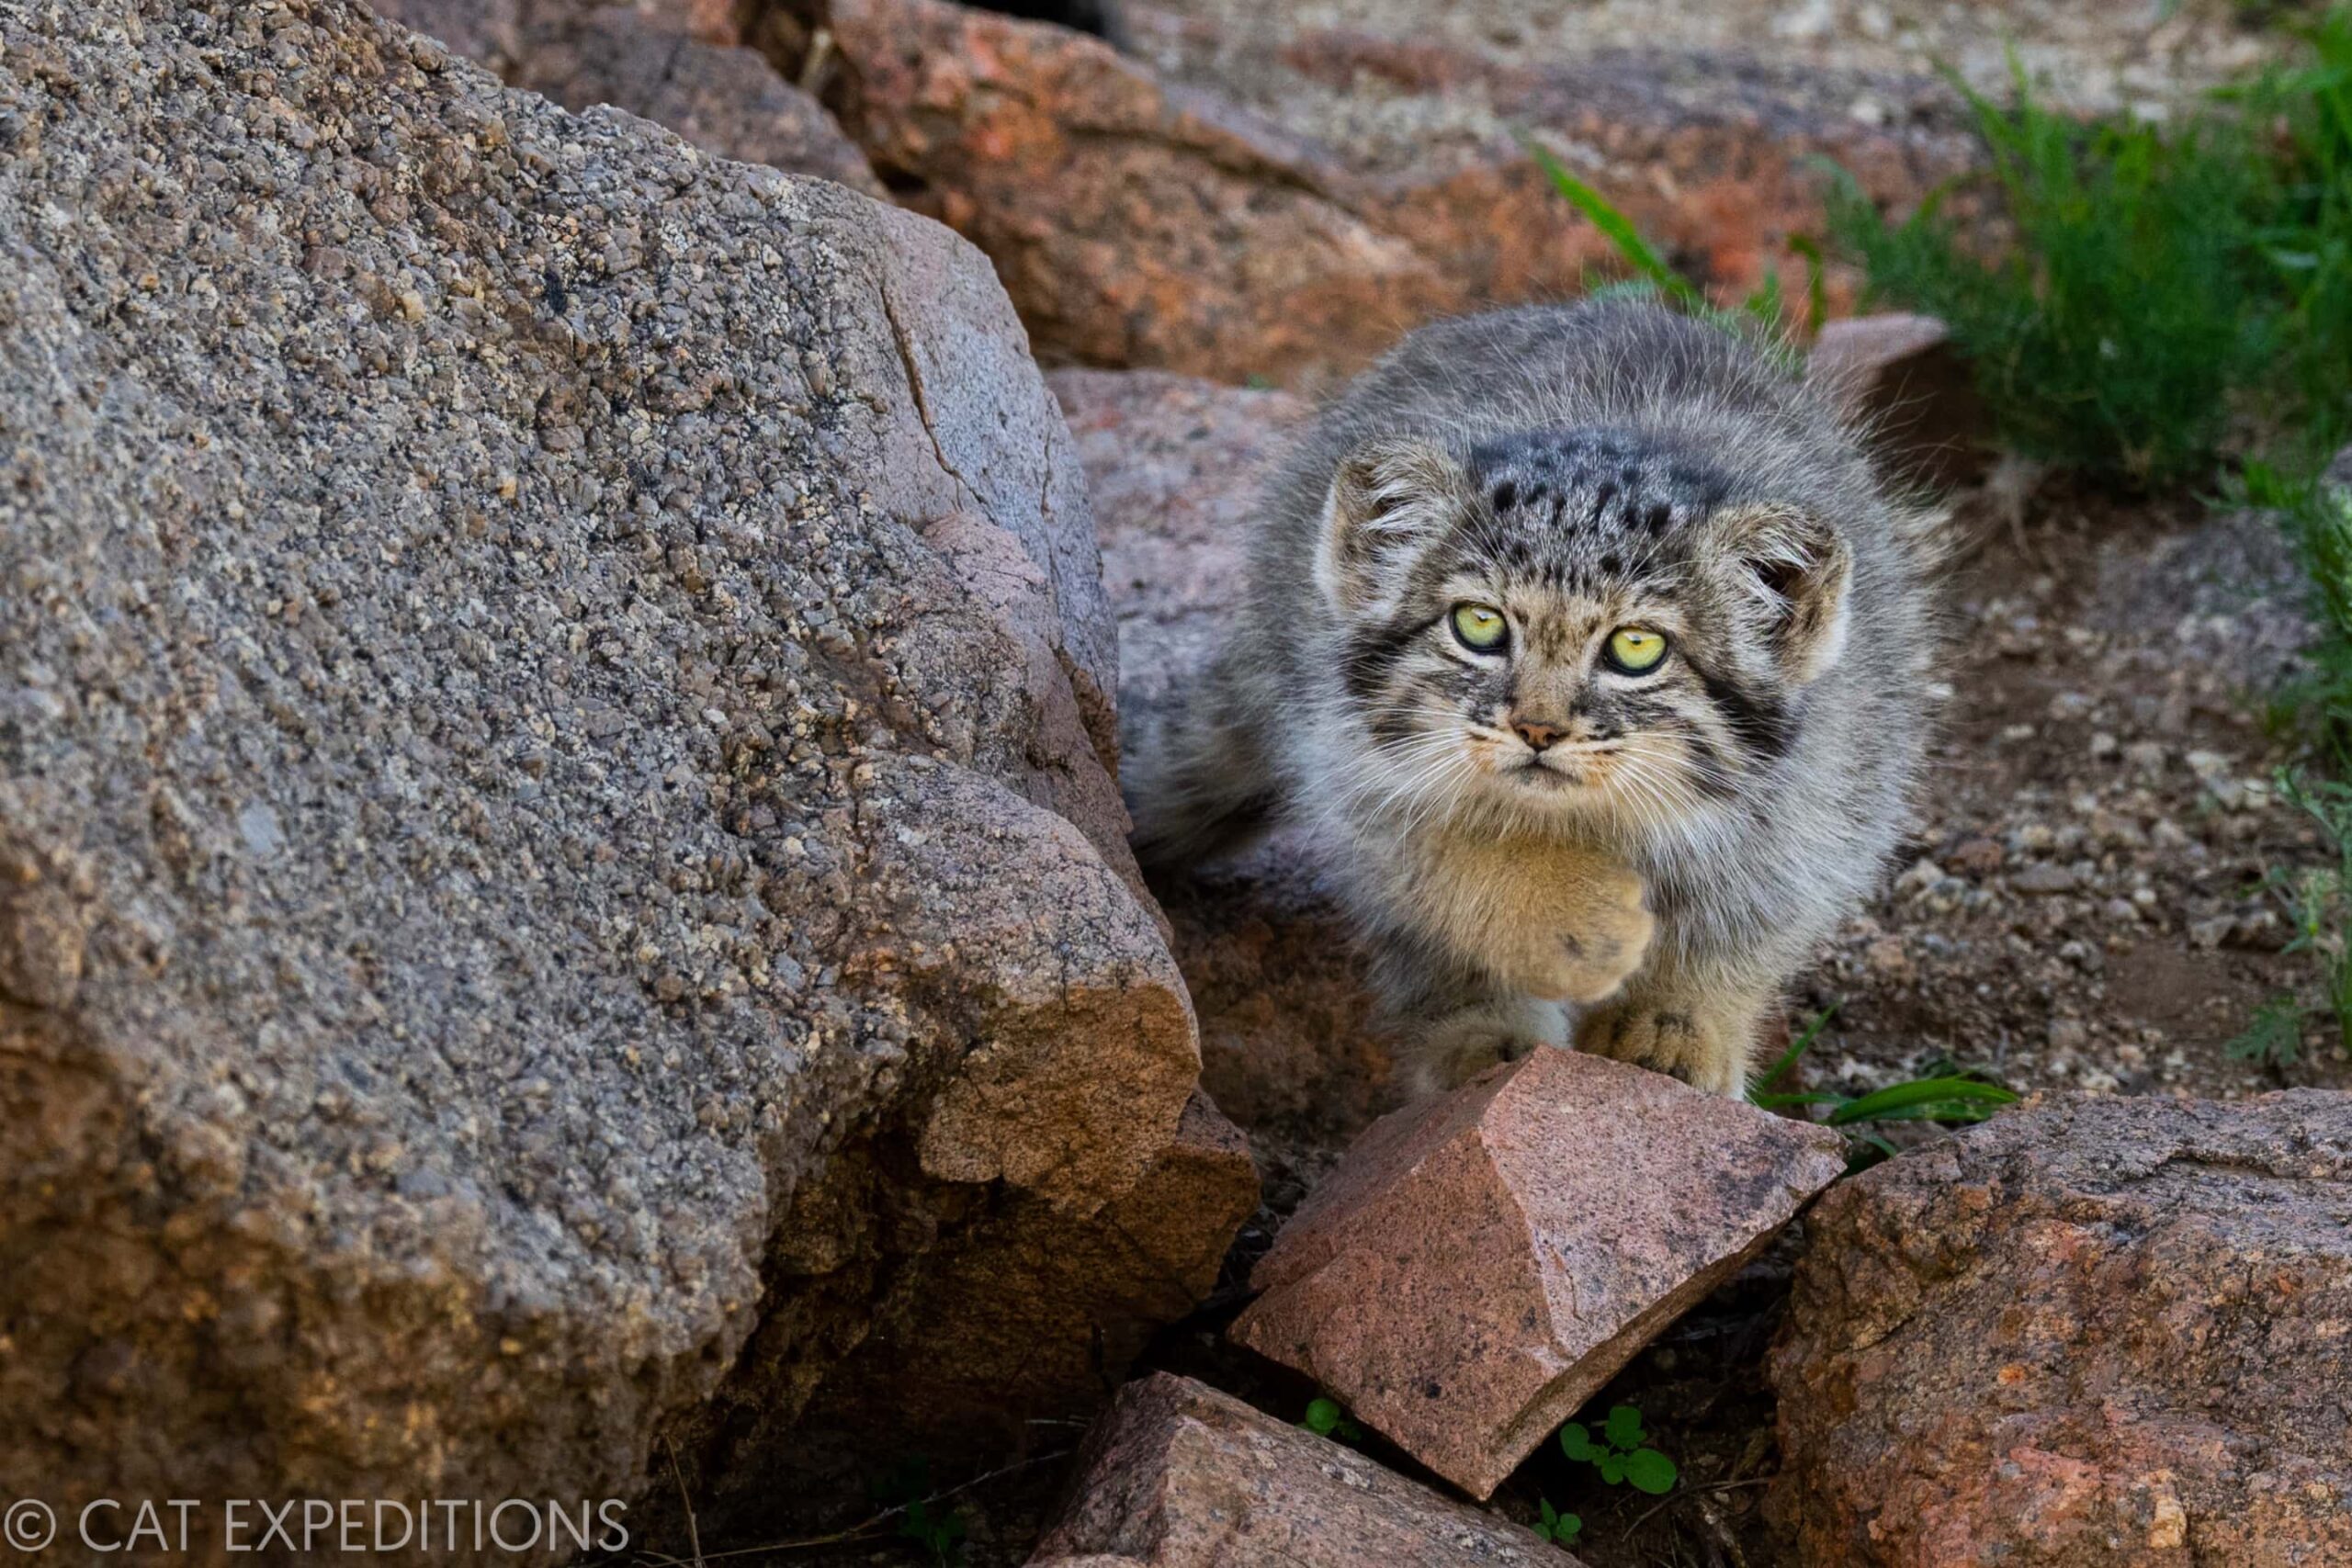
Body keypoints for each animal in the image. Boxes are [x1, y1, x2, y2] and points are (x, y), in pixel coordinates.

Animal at [1128, 300, 1938, 1100]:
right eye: (1479, 624)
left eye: (1636, 647)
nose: (1538, 729)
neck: (1587, 825)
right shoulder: (1347, 760)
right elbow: (1447, 865)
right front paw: (1566, 920)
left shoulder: (1826, 800)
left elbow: (1744, 926)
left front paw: (1676, 1025)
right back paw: (1479, 1036)